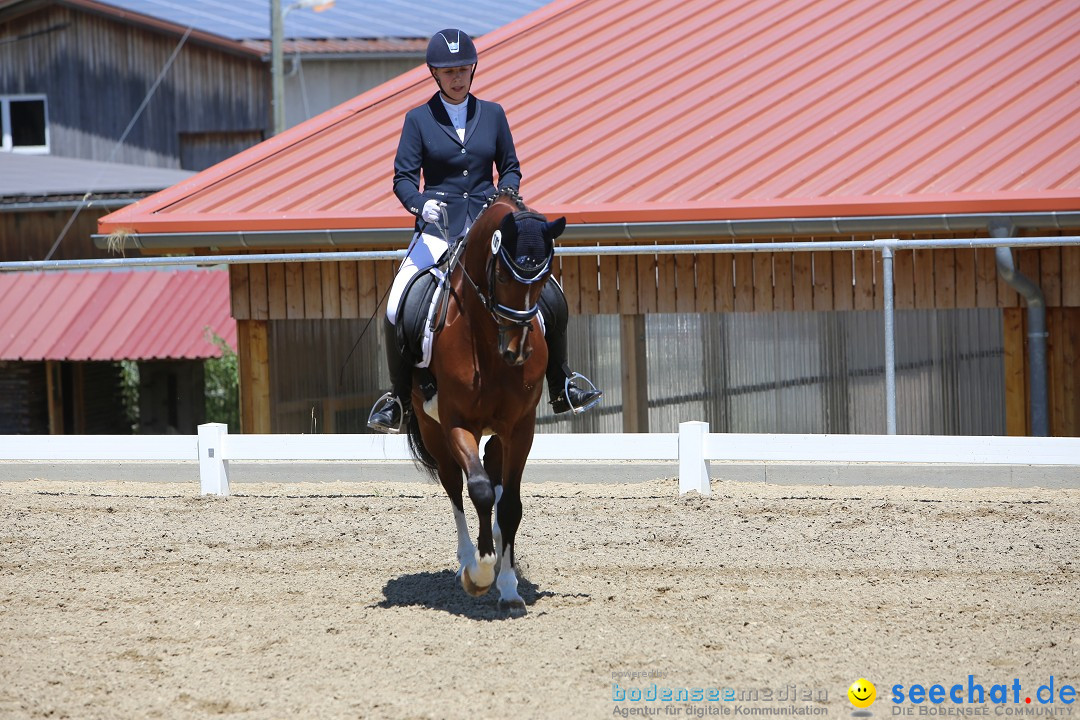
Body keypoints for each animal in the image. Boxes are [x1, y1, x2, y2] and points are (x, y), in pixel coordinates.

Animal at [406, 188, 565, 617]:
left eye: (545, 276)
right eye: (503, 275)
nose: (518, 352)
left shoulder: (520, 428)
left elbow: (509, 505)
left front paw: (508, 588)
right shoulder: (457, 422)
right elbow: (476, 490)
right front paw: (479, 573)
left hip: (495, 435)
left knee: (493, 482)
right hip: (432, 430)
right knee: (454, 486)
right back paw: (468, 557)